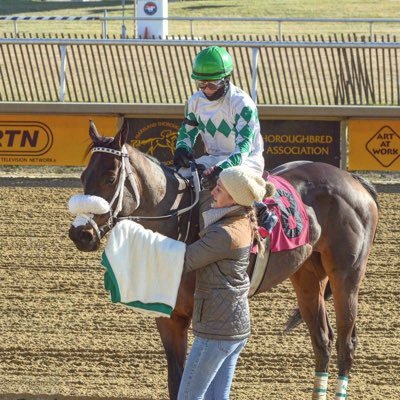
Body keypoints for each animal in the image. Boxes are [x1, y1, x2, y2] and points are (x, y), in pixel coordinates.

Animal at [68, 122, 378, 400]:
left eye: (110, 177)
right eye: (83, 176)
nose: (80, 233)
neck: (181, 222)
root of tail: (354, 180)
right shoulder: (169, 317)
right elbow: (177, 380)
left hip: (346, 275)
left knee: (346, 343)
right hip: (307, 276)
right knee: (322, 341)